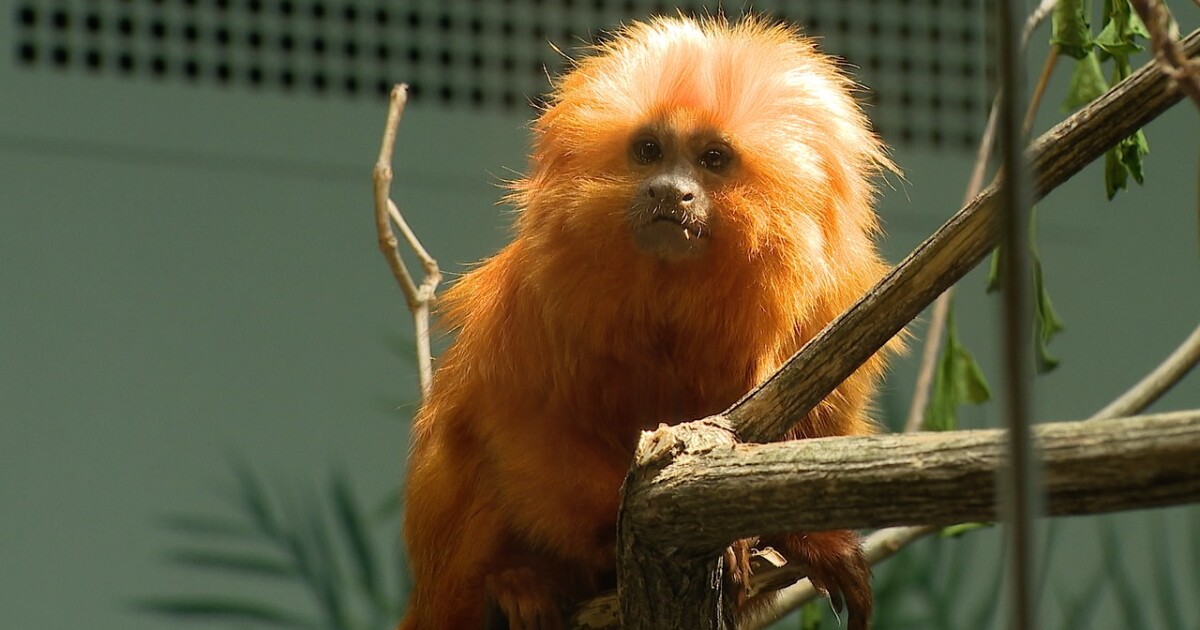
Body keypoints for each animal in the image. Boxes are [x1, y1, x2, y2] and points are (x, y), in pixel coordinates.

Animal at [399, 15, 896, 630]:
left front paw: (802, 540)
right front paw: (605, 545)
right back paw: (520, 584)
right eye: (650, 150)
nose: (668, 191)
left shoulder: (832, 303)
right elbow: (515, 420)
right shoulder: (540, 295)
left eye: (712, 158)